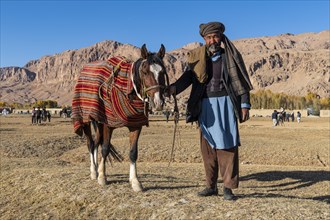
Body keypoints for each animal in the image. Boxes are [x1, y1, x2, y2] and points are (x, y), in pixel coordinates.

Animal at [72, 44, 170, 191]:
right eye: (145, 72)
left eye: (163, 72)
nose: (158, 102)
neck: (127, 89)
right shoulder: (108, 124)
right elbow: (105, 149)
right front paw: (102, 177)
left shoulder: (135, 125)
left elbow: (133, 152)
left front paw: (135, 181)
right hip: (87, 120)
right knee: (91, 143)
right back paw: (94, 171)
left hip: (98, 122)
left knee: (96, 142)